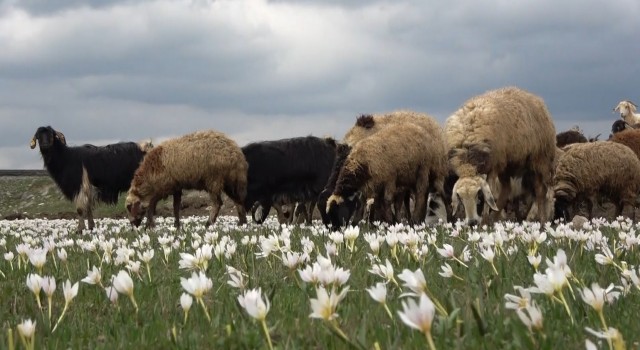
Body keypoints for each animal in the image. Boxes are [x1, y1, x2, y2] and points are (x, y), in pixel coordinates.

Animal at [444, 86, 556, 226]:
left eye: (478, 194)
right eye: (460, 197)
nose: (472, 223)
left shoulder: (493, 167)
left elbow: (490, 194)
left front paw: (484, 221)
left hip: (539, 159)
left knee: (541, 191)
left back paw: (542, 221)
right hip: (508, 165)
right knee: (507, 190)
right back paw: (496, 218)